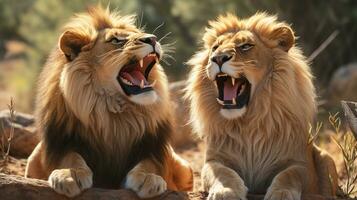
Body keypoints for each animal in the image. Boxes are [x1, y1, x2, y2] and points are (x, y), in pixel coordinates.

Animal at [24, 5, 192, 198]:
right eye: (116, 40)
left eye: (140, 34)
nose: (152, 38)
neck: (113, 114)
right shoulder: (59, 142)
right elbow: (71, 157)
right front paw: (71, 174)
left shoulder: (153, 148)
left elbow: (150, 164)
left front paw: (148, 178)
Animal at [185, 12, 338, 200]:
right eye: (215, 48)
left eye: (245, 46)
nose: (218, 58)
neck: (248, 124)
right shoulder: (214, 159)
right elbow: (222, 172)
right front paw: (226, 191)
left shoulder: (300, 163)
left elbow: (290, 175)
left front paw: (281, 193)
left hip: (326, 157)